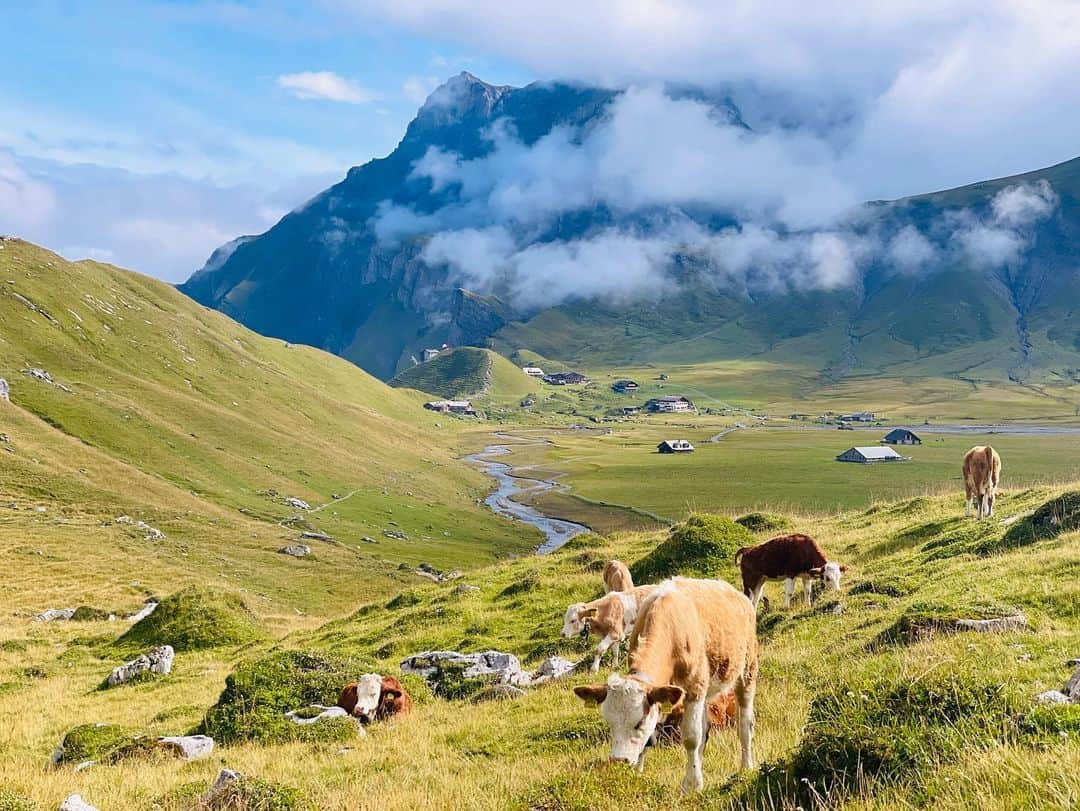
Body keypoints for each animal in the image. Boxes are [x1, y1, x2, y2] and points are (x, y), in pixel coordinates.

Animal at [574, 578, 760, 794]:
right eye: (610, 723)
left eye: (639, 722)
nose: (619, 760)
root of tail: (737, 594)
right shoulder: (661, 694)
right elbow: (654, 737)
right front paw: (638, 775)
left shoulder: (694, 688)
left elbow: (691, 738)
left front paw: (691, 785)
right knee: (704, 729)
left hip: (747, 671)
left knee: (744, 723)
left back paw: (745, 766)